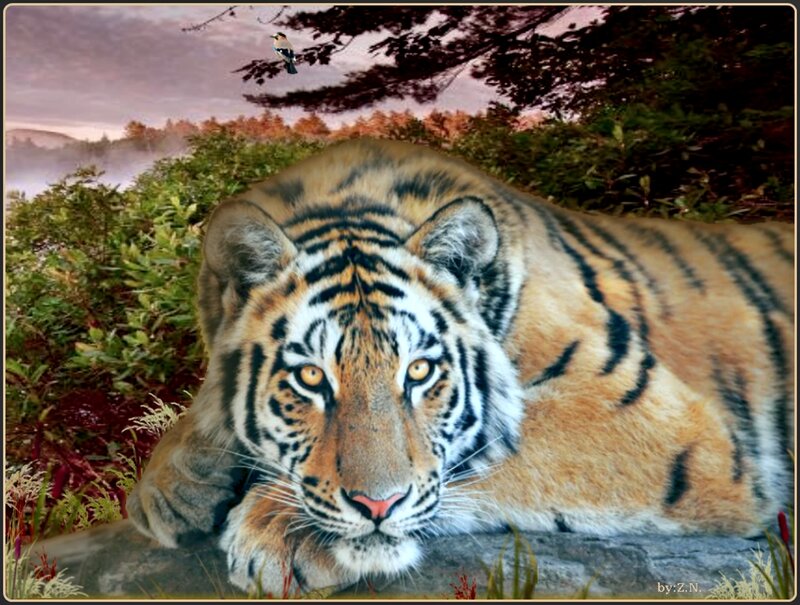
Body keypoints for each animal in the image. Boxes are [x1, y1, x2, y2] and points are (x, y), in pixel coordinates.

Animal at [127, 138, 794, 595]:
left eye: (420, 372)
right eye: (311, 377)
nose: (376, 509)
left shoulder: (663, 425)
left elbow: (484, 455)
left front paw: (280, 528)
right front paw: (169, 485)